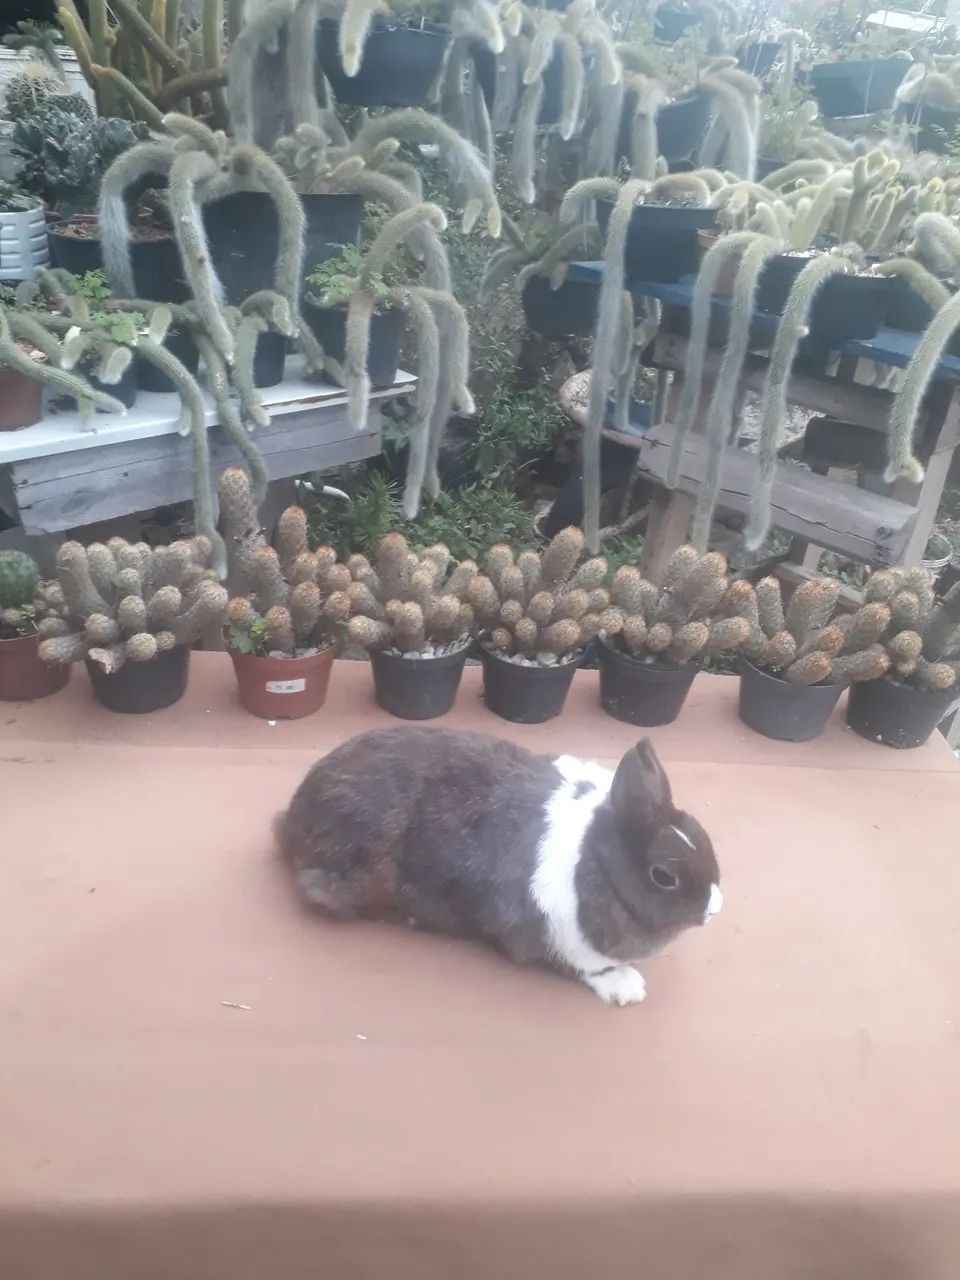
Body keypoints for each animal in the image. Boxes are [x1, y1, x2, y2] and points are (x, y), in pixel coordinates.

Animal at [275, 727, 721, 1006]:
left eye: (700, 835)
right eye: (663, 876)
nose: (715, 908)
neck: (594, 855)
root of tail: (292, 817)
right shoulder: (556, 938)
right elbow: (583, 968)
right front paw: (626, 987)